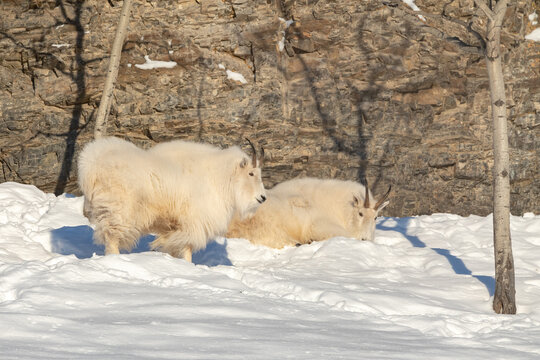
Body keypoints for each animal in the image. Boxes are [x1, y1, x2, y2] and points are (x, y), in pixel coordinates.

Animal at [78, 137, 266, 262]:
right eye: (251, 173)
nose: (262, 197)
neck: (218, 177)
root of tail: (91, 167)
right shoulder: (193, 222)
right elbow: (187, 247)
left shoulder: (175, 226)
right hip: (118, 212)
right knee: (111, 238)